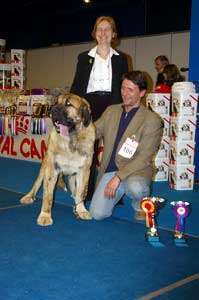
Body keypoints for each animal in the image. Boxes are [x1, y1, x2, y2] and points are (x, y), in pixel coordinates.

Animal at [20, 93, 95, 225]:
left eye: (68, 104)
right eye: (56, 102)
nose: (52, 110)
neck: (71, 138)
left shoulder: (84, 170)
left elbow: (81, 192)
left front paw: (81, 210)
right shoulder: (52, 168)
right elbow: (48, 195)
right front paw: (45, 216)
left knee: (73, 183)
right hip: (44, 165)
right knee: (37, 183)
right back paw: (28, 196)